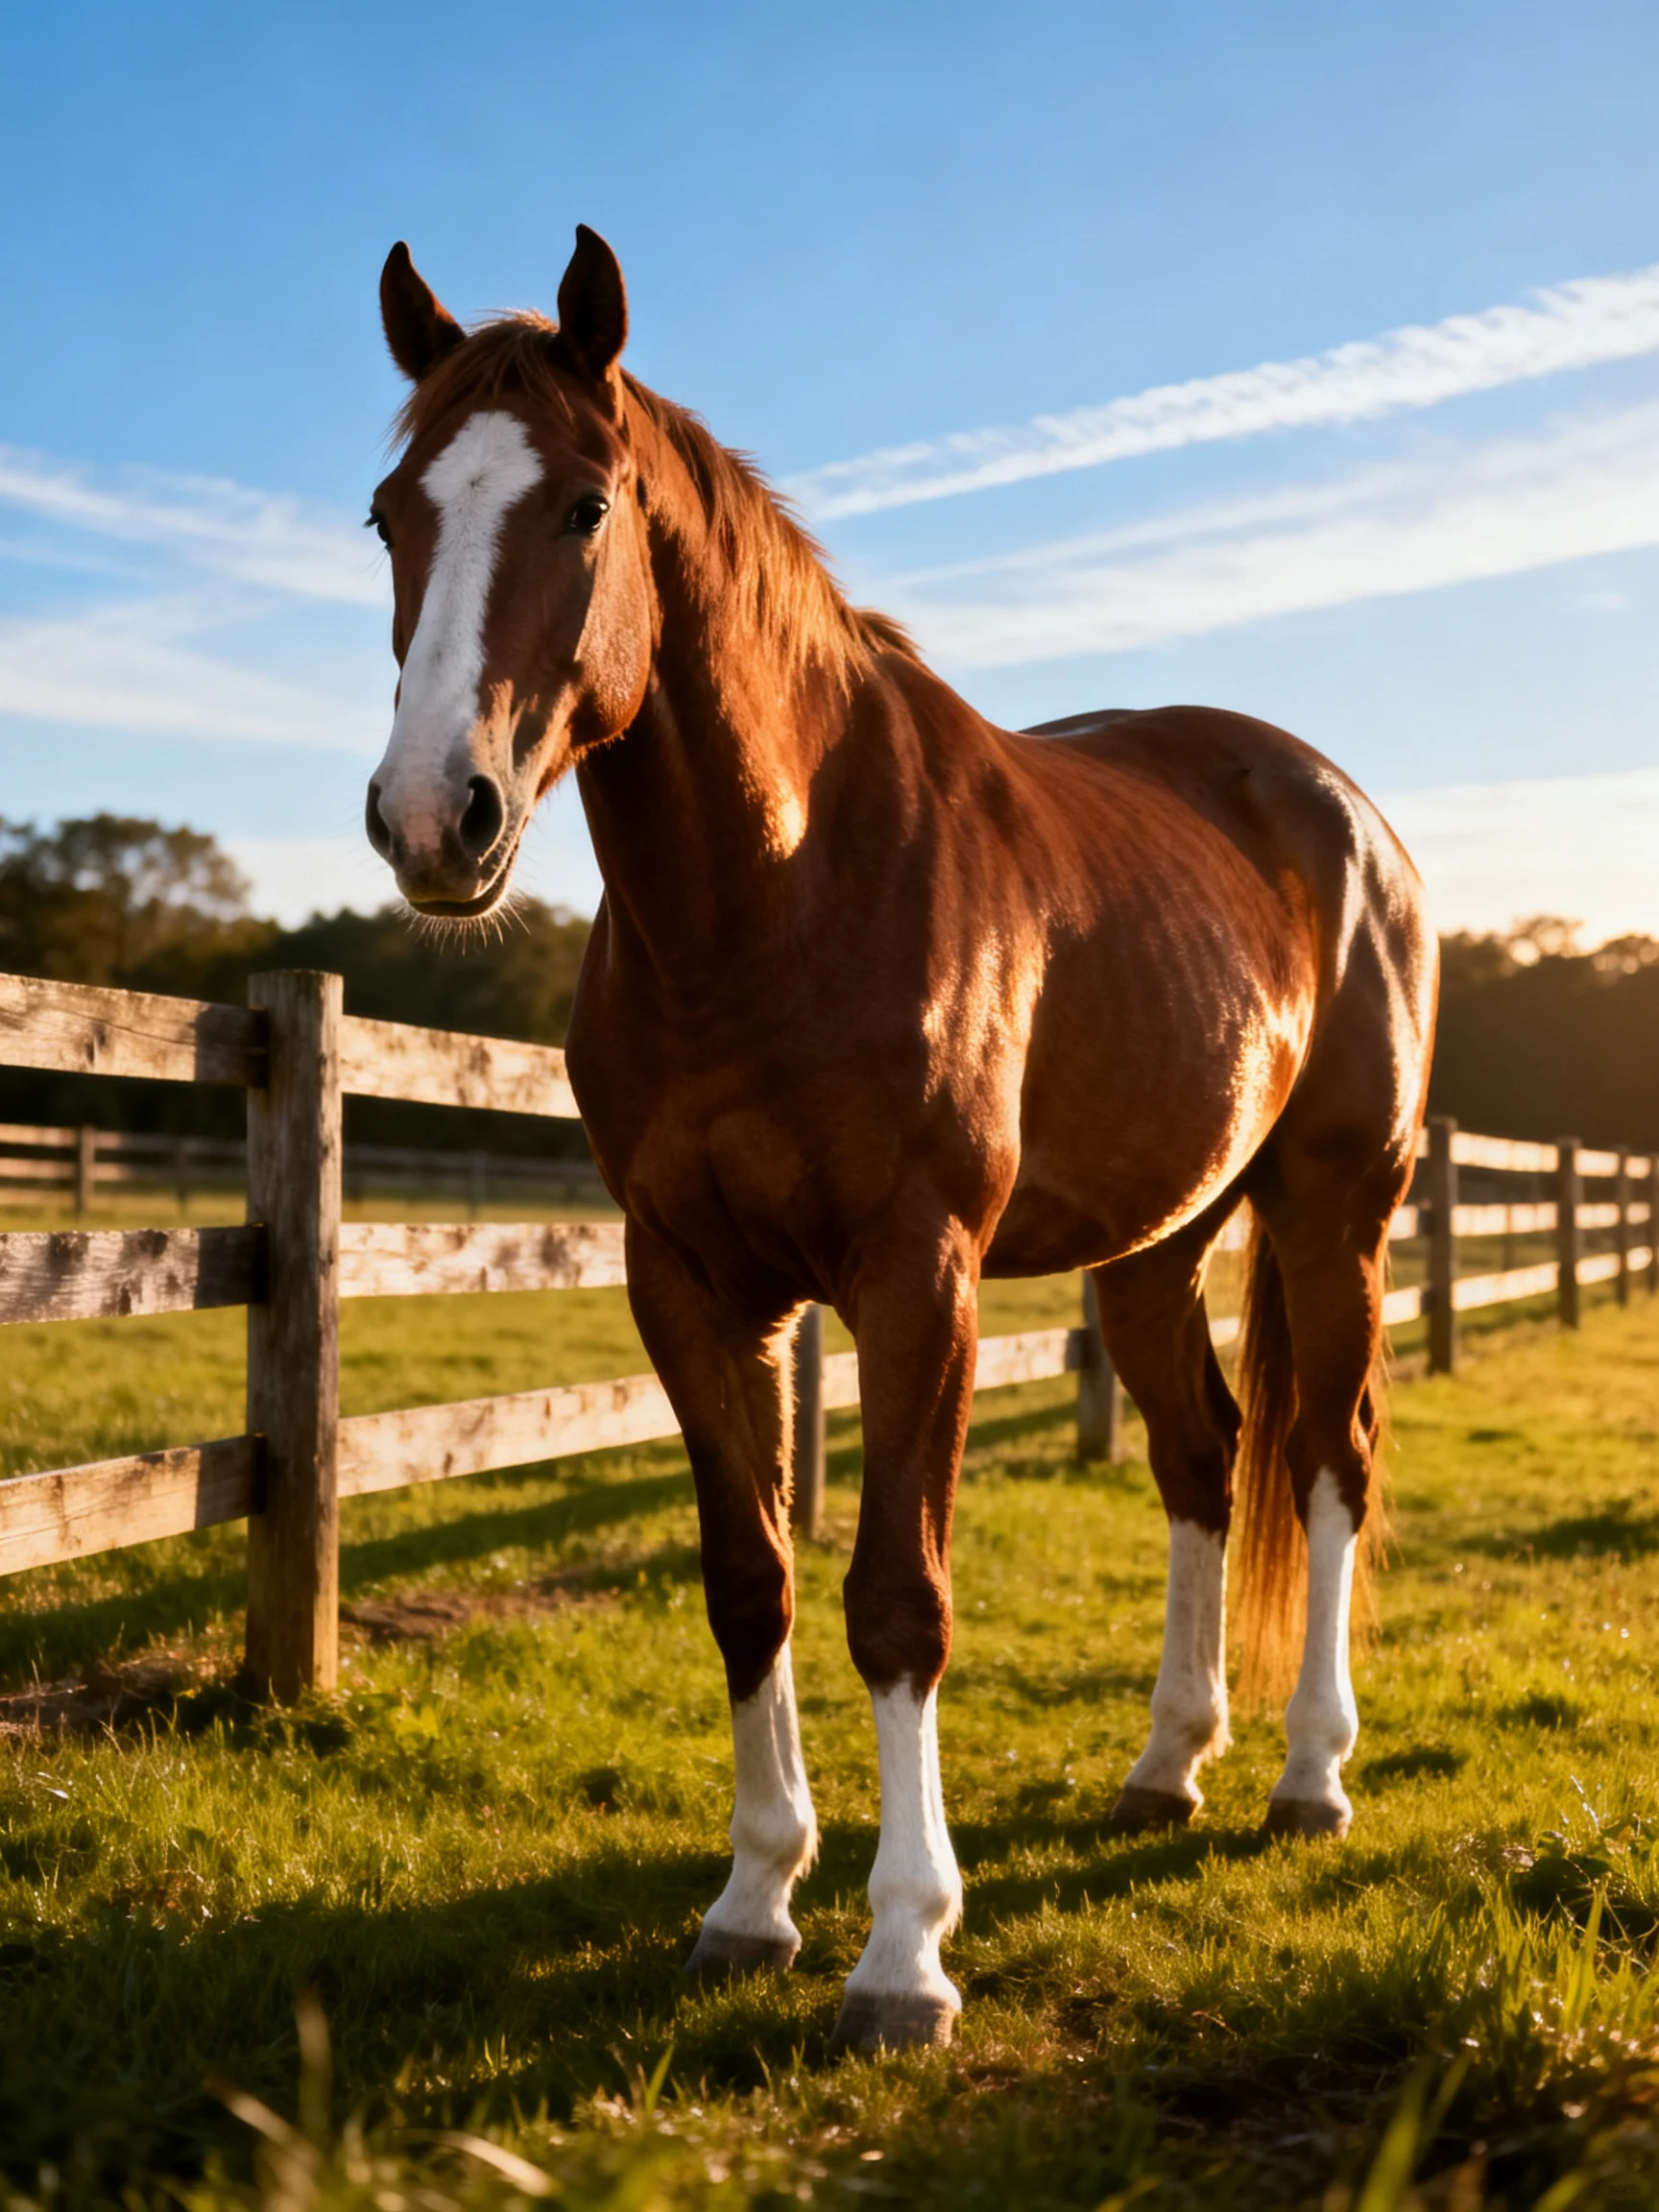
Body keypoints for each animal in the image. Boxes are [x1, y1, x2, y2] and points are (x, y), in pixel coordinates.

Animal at [363, 226, 1438, 2054]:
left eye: (582, 506)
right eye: (389, 514)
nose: (436, 817)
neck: (779, 891)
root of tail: (1337, 809)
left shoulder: (915, 1279)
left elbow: (897, 1596)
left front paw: (902, 1951)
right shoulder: (688, 1280)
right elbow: (751, 1575)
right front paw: (750, 1901)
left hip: (1329, 1212)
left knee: (1325, 1456)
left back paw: (1308, 1777)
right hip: (1153, 1244)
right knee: (1203, 1455)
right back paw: (1168, 1763)